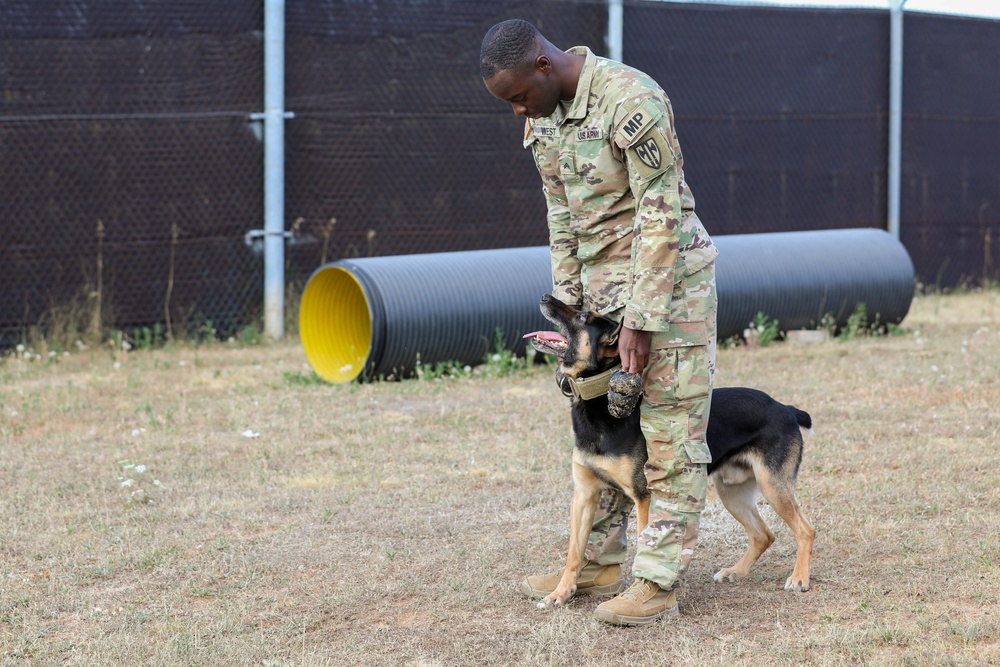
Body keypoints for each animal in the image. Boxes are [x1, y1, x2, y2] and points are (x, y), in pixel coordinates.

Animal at [524, 294, 812, 608]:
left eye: (583, 316)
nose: (545, 297)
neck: (599, 401)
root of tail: (786, 408)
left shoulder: (645, 497)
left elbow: (645, 547)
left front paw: (637, 594)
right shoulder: (585, 495)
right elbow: (574, 553)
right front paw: (560, 593)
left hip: (772, 487)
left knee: (805, 530)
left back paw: (799, 578)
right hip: (731, 493)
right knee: (764, 535)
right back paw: (735, 572)